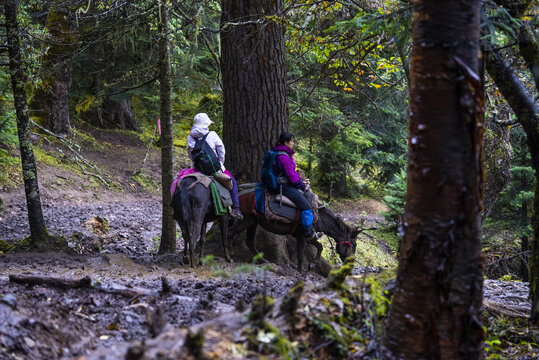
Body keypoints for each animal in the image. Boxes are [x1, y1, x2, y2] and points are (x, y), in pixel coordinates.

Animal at [226, 193, 360, 272]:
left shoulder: (307, 235)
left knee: (249, 241)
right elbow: (301, 253)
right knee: (230, 232)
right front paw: (302, 269)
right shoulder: (302, 235)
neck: (319, 217)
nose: (351, 264)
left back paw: (263, 261)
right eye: (354, 245)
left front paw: (311, 264)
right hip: (247, 220)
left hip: (253, 222)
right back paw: (230, 256)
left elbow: (319, 246)